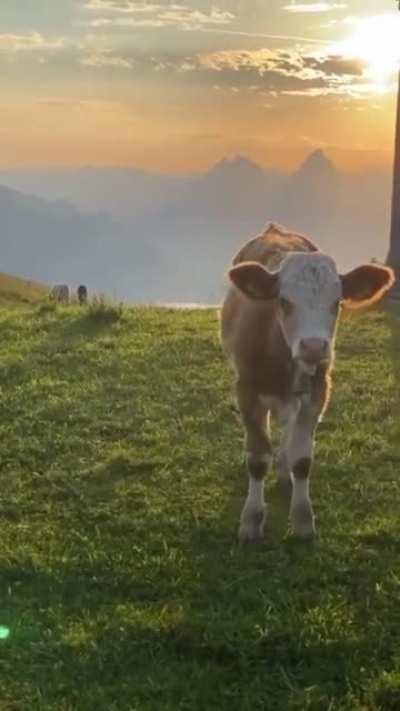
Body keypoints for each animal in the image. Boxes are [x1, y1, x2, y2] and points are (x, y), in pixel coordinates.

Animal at [220, 223, 394, 542]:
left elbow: (302, 459)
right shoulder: (247, 389)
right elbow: (257, 457)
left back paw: (283, 471)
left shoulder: (317, 392)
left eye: (337, 303)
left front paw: (302, 521)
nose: (313, 346)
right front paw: (251, 521)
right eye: (284, 301)